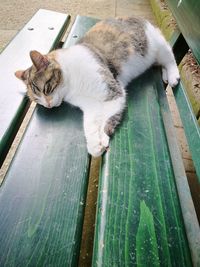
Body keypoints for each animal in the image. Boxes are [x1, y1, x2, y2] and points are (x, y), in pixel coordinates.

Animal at [14, 16, 180, 158]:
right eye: (38, 100)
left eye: (46, 88)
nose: (48, 105)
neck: (72, 83)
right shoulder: (90, 105)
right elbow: (89, 124)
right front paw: (94, 144)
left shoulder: (113, 91)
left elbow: (108, 117)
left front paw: (104, 136)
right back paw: (165, 74)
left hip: (157, 45)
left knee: (170, 58)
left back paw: (172, 75)